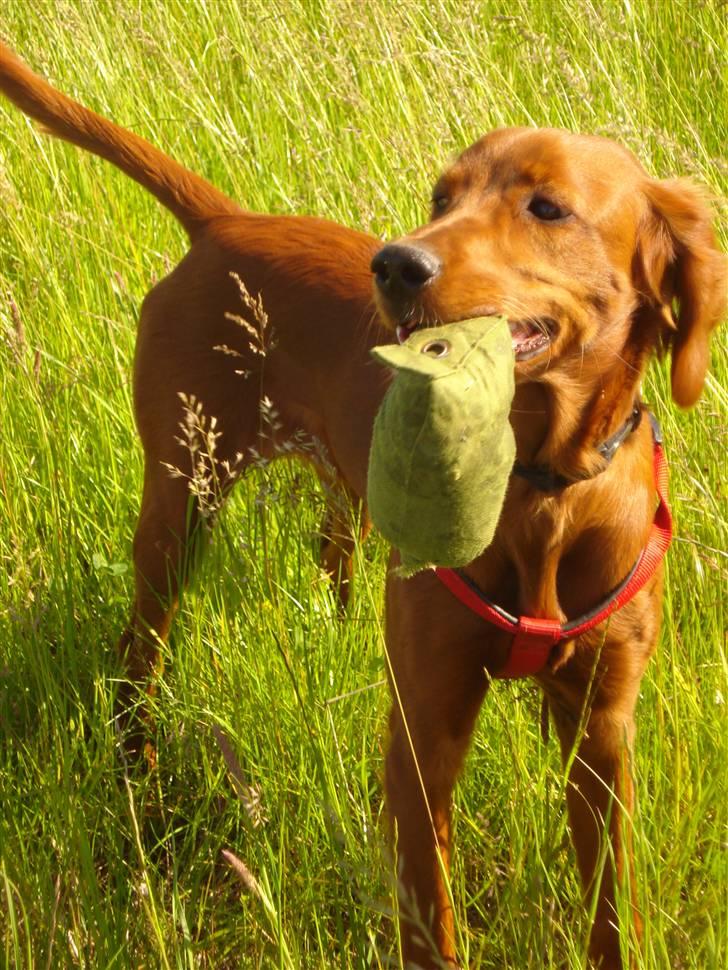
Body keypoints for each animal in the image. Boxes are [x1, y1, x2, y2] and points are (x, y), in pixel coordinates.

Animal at [2, 39, 724, 968]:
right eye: (441, 197)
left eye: (547, 207)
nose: (396, 263)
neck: (538, 486)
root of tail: (230, 224)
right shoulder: (424, 731)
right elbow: (433, 927)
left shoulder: (603, 728)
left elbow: (611, 912)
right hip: (178, 503)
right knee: (138, 655)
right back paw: (140, 779)